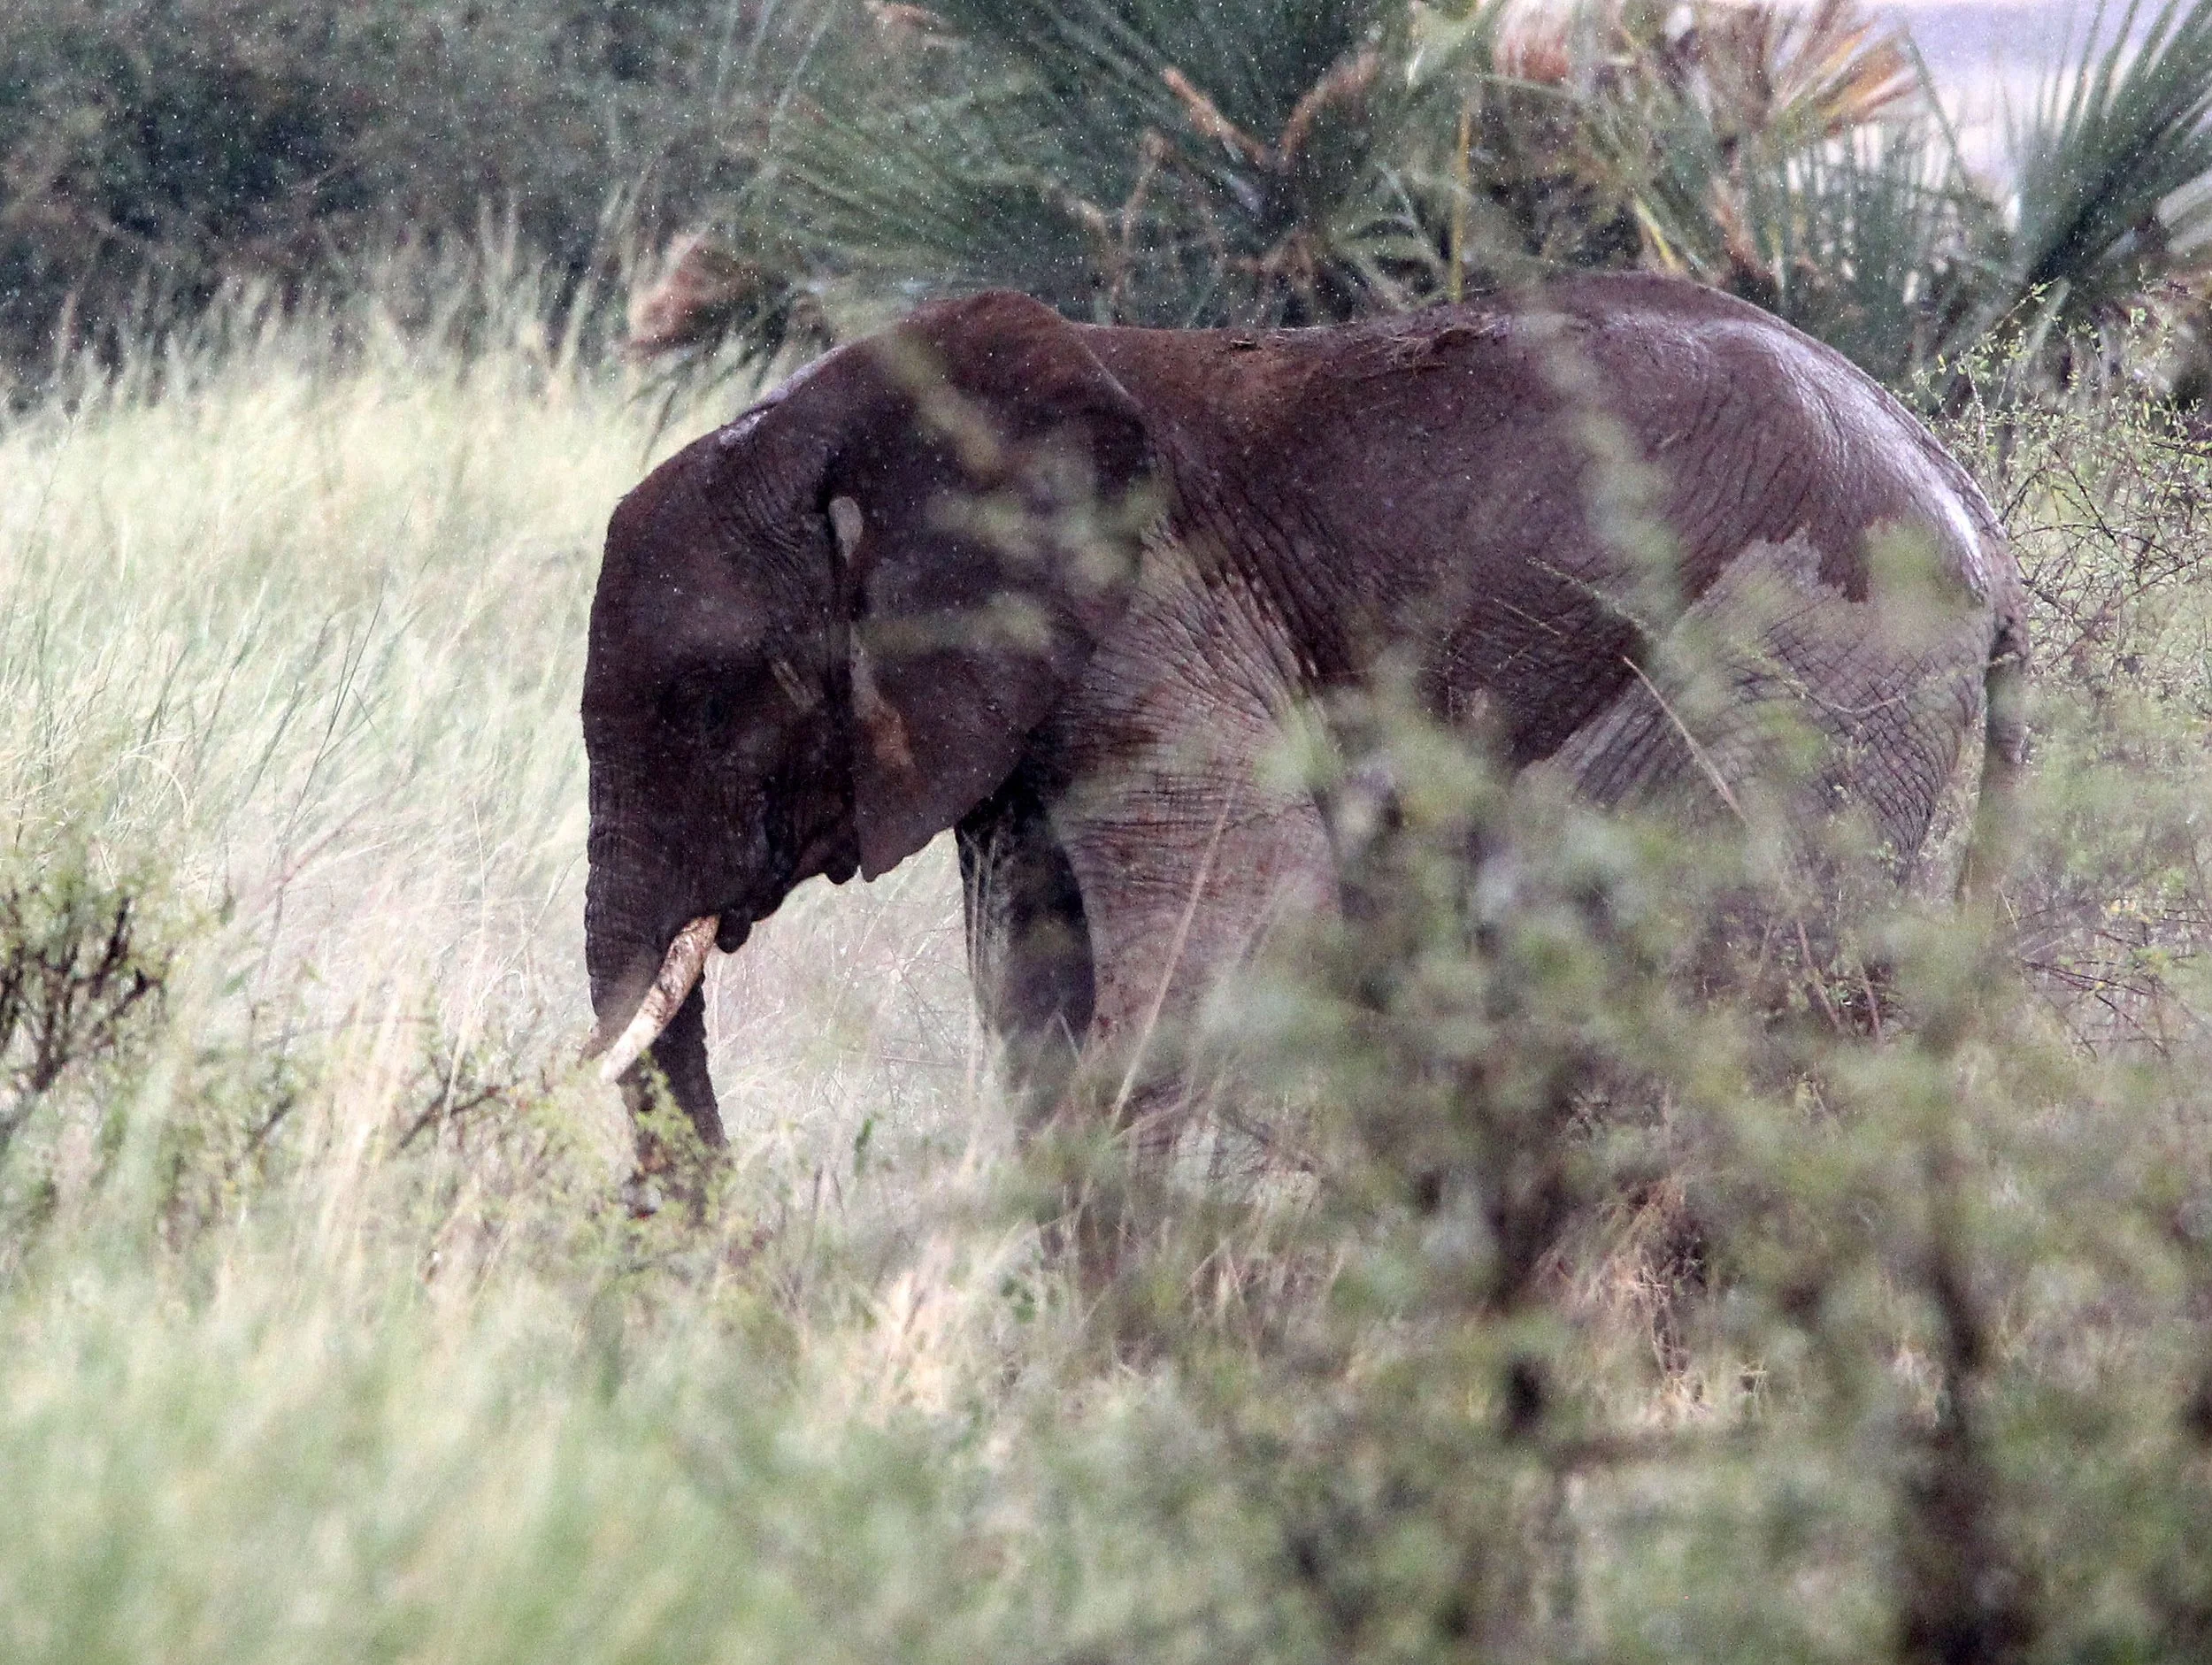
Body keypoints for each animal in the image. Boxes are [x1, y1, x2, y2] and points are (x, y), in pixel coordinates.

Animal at [581, 272, 2028, 1160]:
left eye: (712, 700)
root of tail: (1980, 525)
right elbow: (1031, 990)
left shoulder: (1164, 632)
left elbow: (1232, 934)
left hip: (1793, 676)